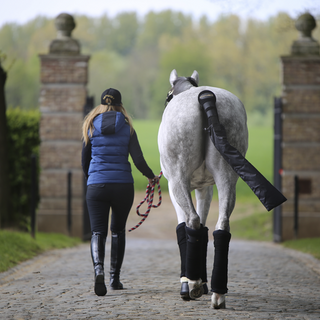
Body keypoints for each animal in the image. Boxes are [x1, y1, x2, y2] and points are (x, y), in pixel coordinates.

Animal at [158, 69, 248, 308]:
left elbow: (184, 227)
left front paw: (188, 282)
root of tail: (206, 98)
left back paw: (193, 284)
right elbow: (205, 229)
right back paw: (217, 294)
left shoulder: (176, 187)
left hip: (178, 180)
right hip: (227, 177)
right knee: (221, 226)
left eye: (168, 96)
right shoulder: (205, 189)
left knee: (192, 221)